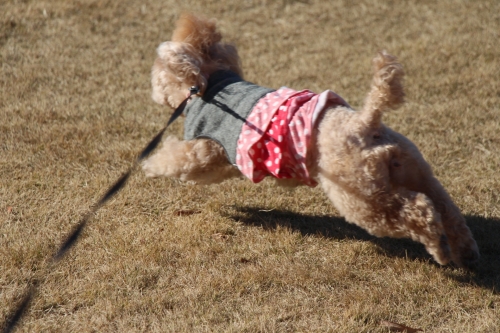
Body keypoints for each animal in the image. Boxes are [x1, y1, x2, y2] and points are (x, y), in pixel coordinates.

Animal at [142, 13, 480, 268]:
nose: (153, 93)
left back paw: (439, 249)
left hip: (363, 197)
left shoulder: (207, 151)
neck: (211, 84)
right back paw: (465, 253)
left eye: (155, 73)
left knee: (419, 210)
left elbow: (176, 160)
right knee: (448, 210)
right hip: (416, 171)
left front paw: (148, 165)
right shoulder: (230, 162)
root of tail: (365, 122)